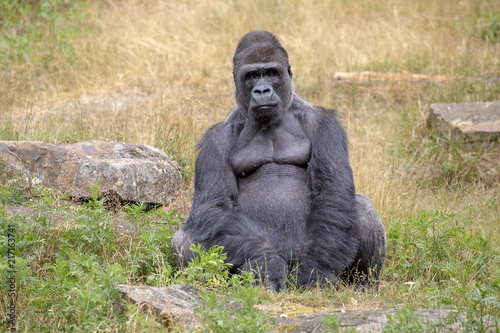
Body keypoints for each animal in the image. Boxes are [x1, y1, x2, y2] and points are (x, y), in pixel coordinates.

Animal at [174, 30, 384, 290]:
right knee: (184, 237)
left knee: (361, 208)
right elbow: (214, 207)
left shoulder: (324, 124)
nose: (262, 91)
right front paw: (266, 265)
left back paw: (363, 283)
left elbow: (332, 193)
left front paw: (313, 271)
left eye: (272, 73)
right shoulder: (215, 140)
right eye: (252, 76)